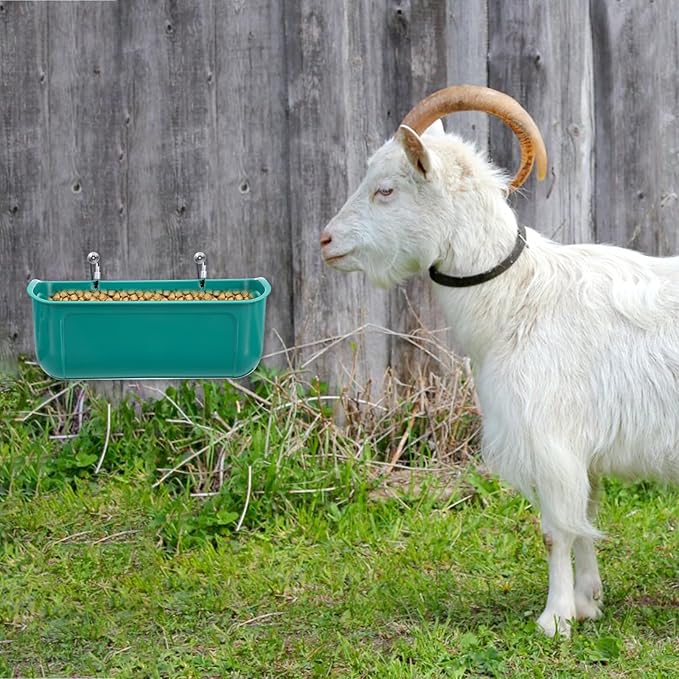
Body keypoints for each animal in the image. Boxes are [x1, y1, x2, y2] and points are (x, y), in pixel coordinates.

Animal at [320, 85, 679, 637]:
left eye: (385, 190)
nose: (326, 241)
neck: (520, 297)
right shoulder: (581, 447)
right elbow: (586, 518)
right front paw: (588, 602)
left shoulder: (549, 437)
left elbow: (557, 530)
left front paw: (555, 619)